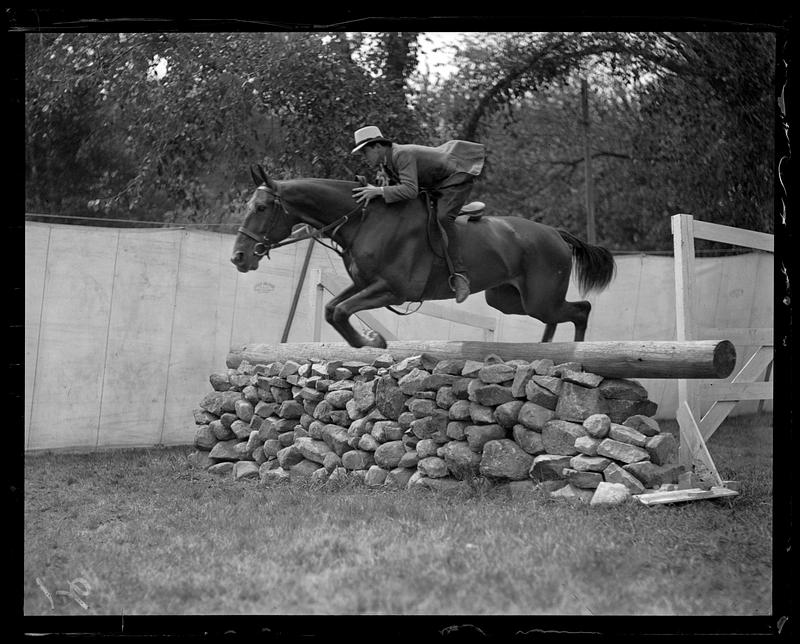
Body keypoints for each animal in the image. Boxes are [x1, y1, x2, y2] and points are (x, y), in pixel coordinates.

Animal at [231, 165, 616, 349]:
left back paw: (574, 355)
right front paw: (371, 340)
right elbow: (332, 310)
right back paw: (546, 350)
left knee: (581, 310)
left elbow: (340, 312)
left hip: (538, 299)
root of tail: (556, 234)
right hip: (508, 300)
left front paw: (373, 341)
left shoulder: (393, 289)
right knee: (559, 315)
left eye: (261, 208)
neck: (363, 220)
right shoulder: (364, 284)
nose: (238, 257)